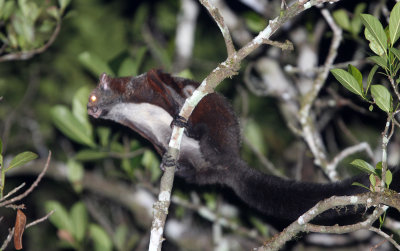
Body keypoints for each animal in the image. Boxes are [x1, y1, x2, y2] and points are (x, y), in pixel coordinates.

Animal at [87, 68, 400, 226]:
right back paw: (178, 165)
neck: (124, 107)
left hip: (221, 128)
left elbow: (170, 88)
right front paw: (165, 159)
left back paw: (192, 130)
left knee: (204, 119)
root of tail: (229, 163)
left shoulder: (145, 85)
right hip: (204, 164)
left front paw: (179, 113)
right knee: (196, 171)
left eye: (91, 97)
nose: (90, 111)